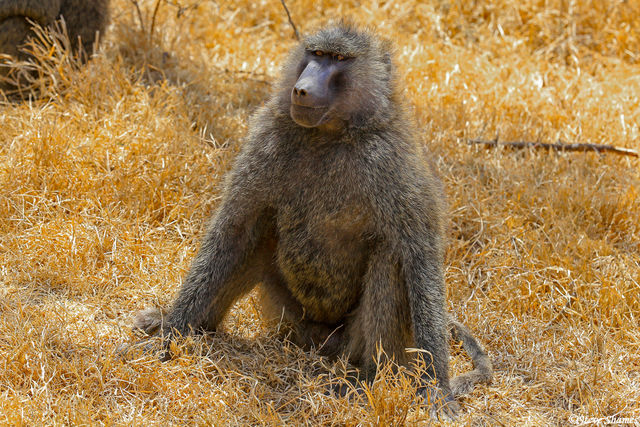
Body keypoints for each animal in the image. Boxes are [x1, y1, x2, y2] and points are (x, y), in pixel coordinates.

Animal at [132, 22, 492, 418]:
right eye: (315, 54)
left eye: (338, 58)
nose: (301, 88)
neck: (331, 135)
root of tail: (321, 346)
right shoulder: (268, 136)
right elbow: (234, 230)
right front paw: (171, 334)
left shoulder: (390, 161)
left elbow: (419, 258)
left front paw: (436, 389)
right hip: (292, 322)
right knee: (258, 237)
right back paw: (189, 327)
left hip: (352, 342)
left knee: (389, 257)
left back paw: (368, 379)